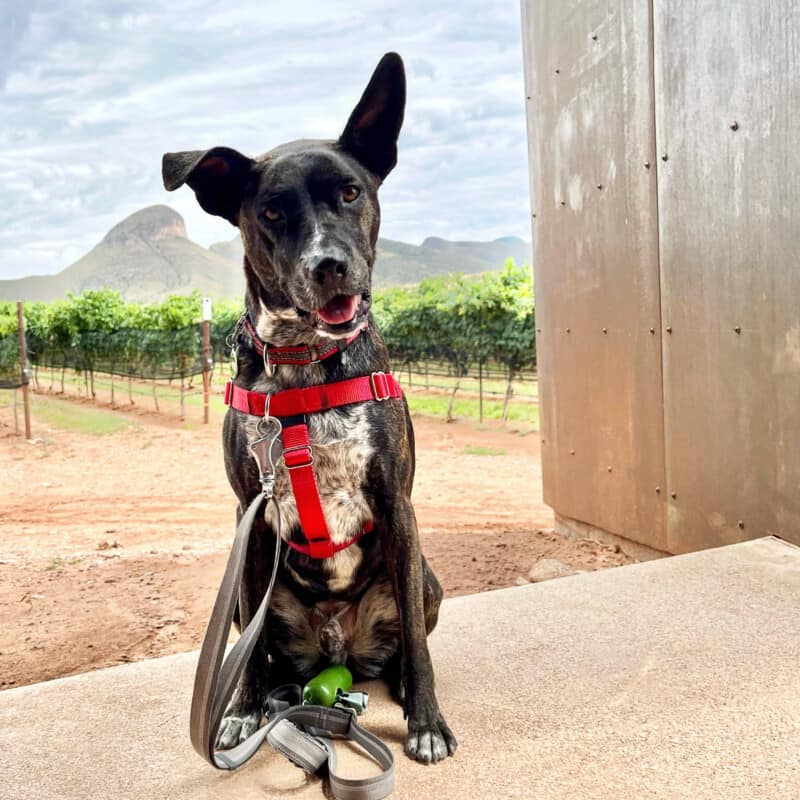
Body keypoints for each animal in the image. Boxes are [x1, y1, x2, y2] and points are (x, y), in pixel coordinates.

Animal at [162, 53, 456, 764]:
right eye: (271, 210)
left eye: (350, 192)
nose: (331, 266)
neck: (304, 361)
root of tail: (339, 654)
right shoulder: (250, 516)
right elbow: (243, 657)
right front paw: (240, 713)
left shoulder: (398, 503)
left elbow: (418, 640)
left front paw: (427, 722)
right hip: (254, 603)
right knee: (264, 649)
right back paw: (274, 699)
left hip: (425, 575)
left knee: (407, 636)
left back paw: (395, 684)